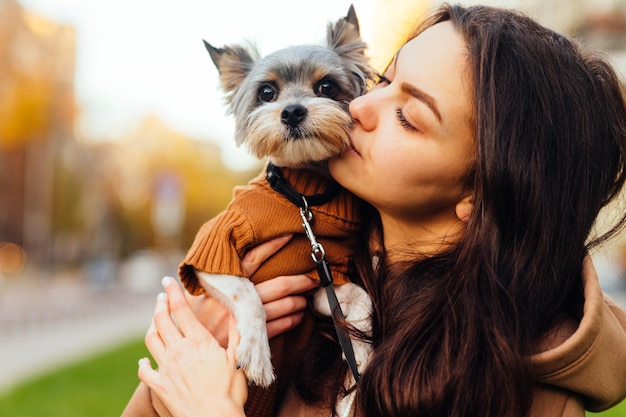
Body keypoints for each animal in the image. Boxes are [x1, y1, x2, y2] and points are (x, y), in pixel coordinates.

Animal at [179, 5, 376, 390]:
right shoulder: (210, 251)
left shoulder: (322, 282)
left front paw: (361, 360)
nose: (292, 111)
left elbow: (362, 303)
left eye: (326, 86)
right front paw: (256, 352)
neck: (301, 195)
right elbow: (246, 292)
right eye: (267, 92)